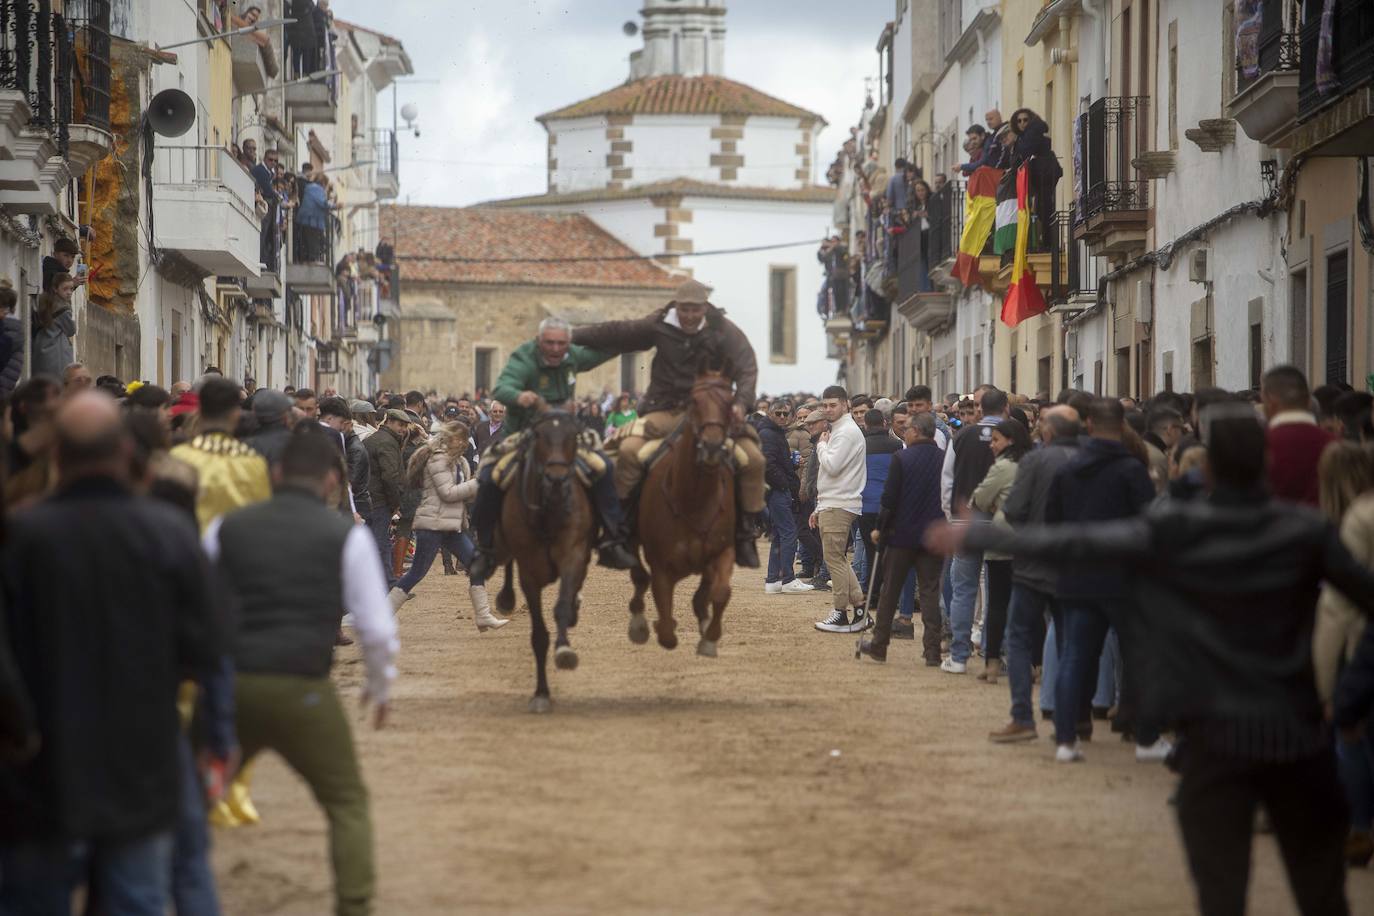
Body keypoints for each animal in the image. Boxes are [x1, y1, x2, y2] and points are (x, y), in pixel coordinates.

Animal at [497, 409, 599, 714]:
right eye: (539, 437)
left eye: (572, 436)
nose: (556, 479)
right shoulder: (529, 572)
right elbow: (539, 635)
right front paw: (541, 693)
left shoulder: (573, 553)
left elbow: (563, 604)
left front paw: (565, 650)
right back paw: (505, 598)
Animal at [629, 368, 741, 656]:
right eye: (694, 401)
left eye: (729, 402)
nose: (712, 447)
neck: (695, 499)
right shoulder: (661, 565)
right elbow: (667, 625)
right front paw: (659, 626)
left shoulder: (723, 550)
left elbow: (720, 592)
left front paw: (709, 638)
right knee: (638, 576)